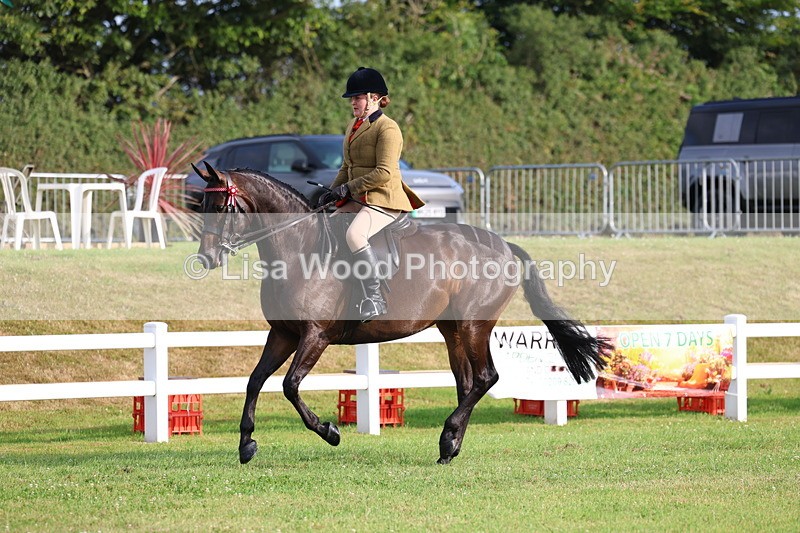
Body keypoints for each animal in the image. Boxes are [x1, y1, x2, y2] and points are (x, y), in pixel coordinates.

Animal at [193, 162, 612, 465]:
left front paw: (330, 431)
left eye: (221, 207)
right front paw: (246, 444)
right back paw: (450, 446)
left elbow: (290, 385)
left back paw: (448, 438)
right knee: (467, 382)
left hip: (474, 324)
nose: (206, 259)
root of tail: (505, 246)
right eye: (201, 207)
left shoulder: (315, 335)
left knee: (486, 378)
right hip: (452, 330)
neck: (300, 250)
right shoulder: (282, 334)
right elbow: (254, 381)